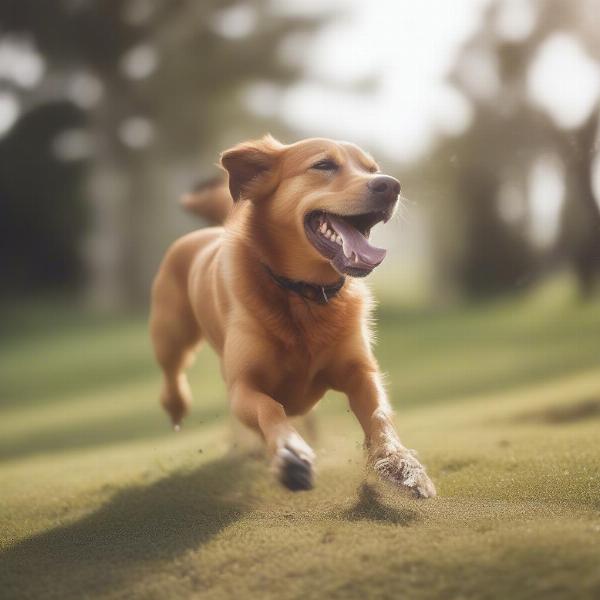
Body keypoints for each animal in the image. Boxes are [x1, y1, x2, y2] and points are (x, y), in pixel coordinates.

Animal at [148, 136, 434, 496]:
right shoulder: (243, 385)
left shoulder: (360, 372)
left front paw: (399, 462)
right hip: (171, 336)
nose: (391, 185)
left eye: (372, 169)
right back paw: (180, 408)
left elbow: (380, 414)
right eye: (323, 165)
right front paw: (290, 452)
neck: (305, 294)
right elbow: (269, 407)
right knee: (173, 374)